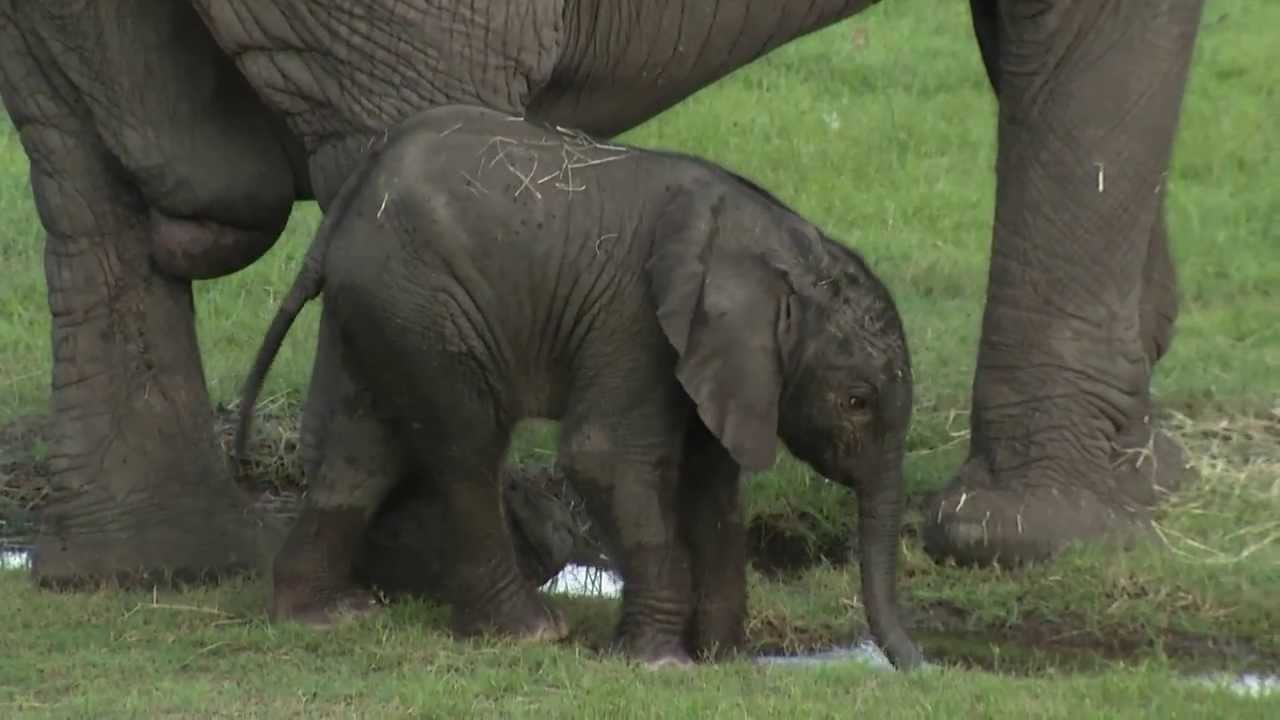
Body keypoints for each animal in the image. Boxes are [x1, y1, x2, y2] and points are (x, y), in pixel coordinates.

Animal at [233, 104, 923, 668]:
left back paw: (325, 616)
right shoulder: (637, 322)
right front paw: (660, 665)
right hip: (426, 302)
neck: (783, 247)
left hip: (380, 304)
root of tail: (346, 206)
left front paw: (722, 658)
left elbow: (713, 485)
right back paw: (530, 632)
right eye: (857, 402)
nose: (923, 667)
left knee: (362, 448)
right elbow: (605, 458)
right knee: (465, 445)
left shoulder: (720, 360)